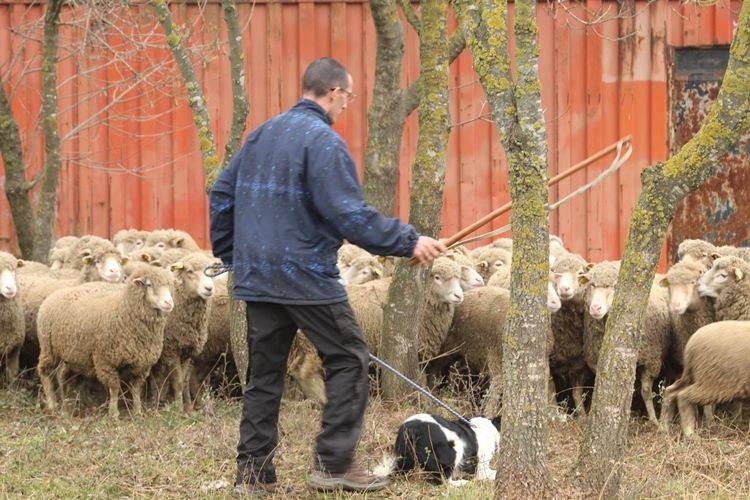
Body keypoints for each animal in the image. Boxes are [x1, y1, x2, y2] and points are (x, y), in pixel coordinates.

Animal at [37, 262, 176, 418]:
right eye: (149, 285)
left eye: (169, 286)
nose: (169, 302)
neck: (124, 311)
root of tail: (52, 295)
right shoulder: (106, 361)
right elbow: (114, 388)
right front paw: (114, 413)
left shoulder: (141, 364)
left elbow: (136, 389)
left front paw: (137, 411)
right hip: (48, 348)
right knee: (45, 373)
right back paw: (52, 404)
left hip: (73, 356)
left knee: (63, 375)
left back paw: (67, 405)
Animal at [580, 262, 672, 426]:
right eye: (592, 285)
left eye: (613, 286)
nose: (595, 308)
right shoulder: (595, 361)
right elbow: (600, 387)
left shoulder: (651, 360)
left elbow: (646, 391)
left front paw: (653, 419)